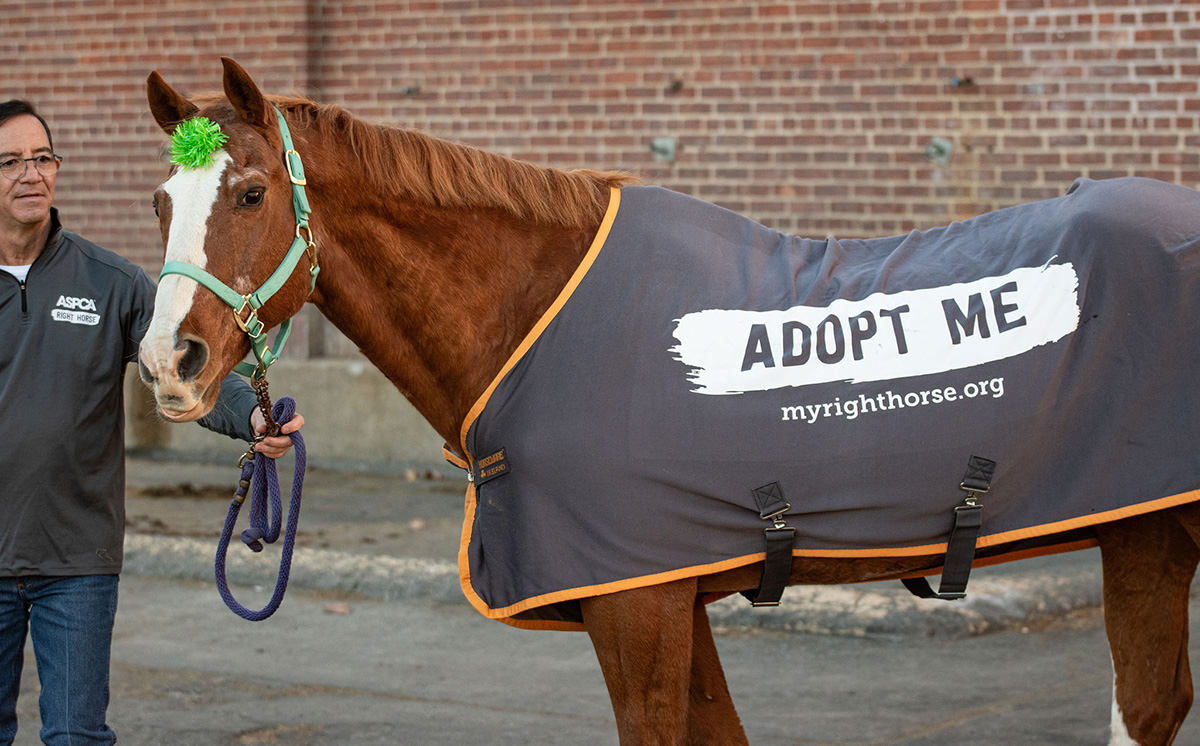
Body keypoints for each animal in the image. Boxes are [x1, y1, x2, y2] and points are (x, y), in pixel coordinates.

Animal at [136, 59, 1200, 746]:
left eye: (252, 194)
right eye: (160, 202)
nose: (166, 360)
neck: (540, 316)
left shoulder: (637, 602)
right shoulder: (671, 594)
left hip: (1149, 531)